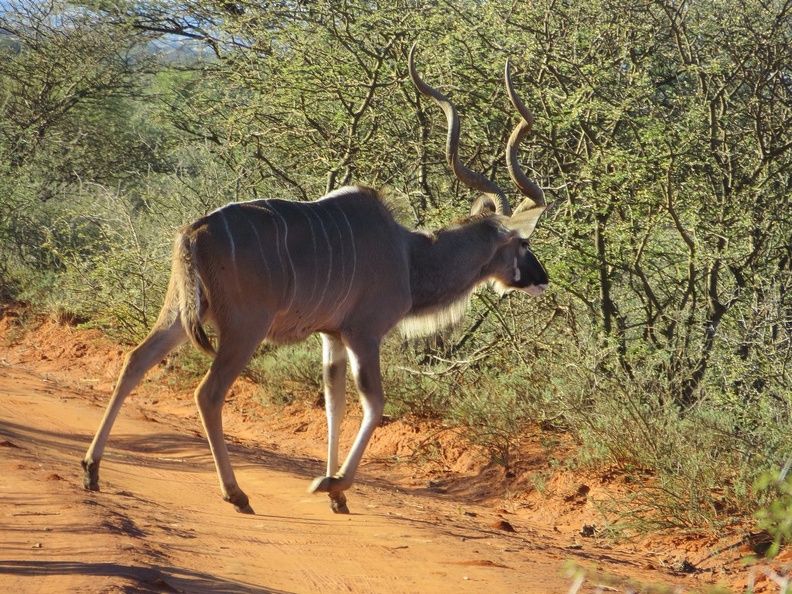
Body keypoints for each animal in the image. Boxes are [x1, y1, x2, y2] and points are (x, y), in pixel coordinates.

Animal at [82, 47, 552, 512]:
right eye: (524, 243)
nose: (542, 278)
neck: (408, 255)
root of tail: (192, 233)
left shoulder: (332, 336)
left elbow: (334, 403)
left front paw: (336, 495)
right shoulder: (363, 332)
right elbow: (374, 403)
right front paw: (333, 483)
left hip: (180, 314)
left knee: (136, 360)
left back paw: (92, 469)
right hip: (244, 329)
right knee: (208, 393)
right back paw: (235, 493)